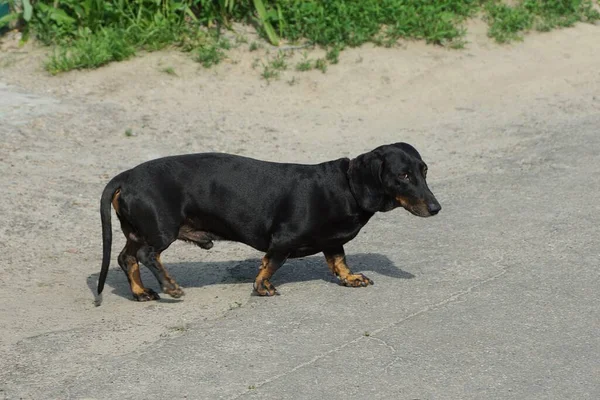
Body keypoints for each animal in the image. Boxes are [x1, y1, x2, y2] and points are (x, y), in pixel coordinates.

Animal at [95, 144, 440, 304]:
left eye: (423, 170)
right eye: (403, 175)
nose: (437, 208)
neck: (346, 187)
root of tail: (125, 177)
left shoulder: (333, 242)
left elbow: (339, 261)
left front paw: (351, 277)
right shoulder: (282, 240)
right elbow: (271, 264)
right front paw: (262, 287)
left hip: (137, 232)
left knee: (126, 258)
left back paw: (141, 292)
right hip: (160, 230)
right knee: (146, 255)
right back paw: (170, 286)